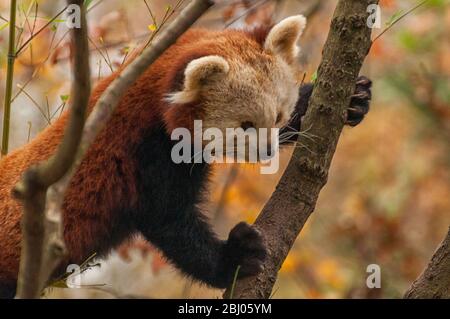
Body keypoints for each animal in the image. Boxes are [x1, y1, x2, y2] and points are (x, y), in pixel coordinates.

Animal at [0, 16, 372, 298]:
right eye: (245, 125)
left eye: (279, 115)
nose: (267, 149)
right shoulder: (143, 153)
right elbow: (169, 221)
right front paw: (234, 258)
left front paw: (350, 98)